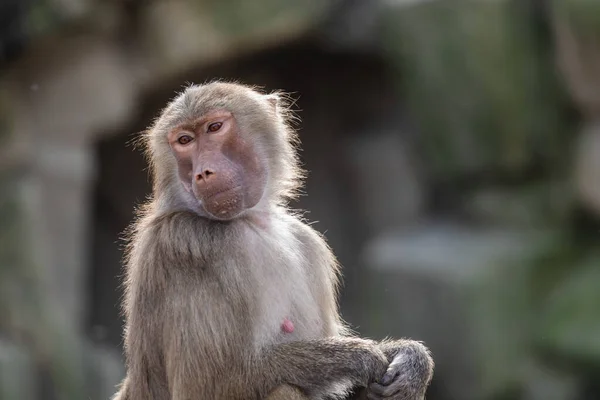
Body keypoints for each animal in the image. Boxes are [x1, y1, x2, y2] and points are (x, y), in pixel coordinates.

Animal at [111, 81, 432, 400]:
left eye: (214, 127)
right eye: (184, 140)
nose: (203, 172)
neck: (251, 222)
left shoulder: (308, 243)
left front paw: (409, 361)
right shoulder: (187, 246)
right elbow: (208, 386)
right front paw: (359, 357)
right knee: (281, 389)